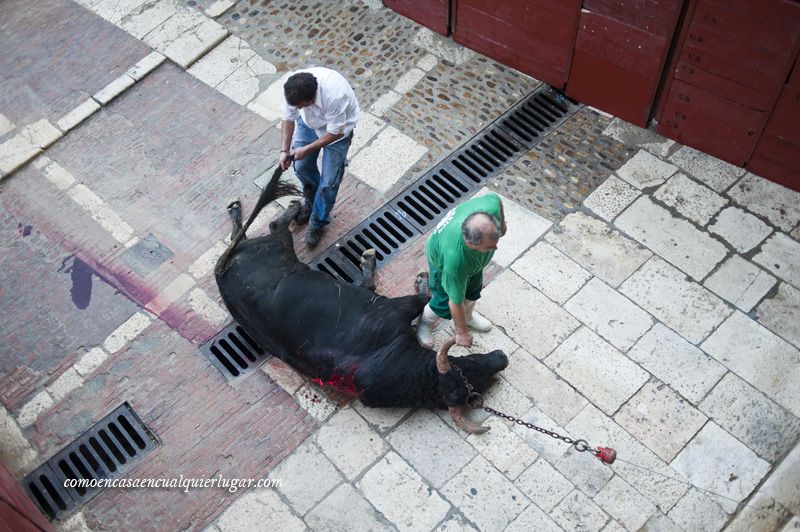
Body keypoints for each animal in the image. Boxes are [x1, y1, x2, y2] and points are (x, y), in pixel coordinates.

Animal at [216, 169, 510, 432]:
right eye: (467, 367)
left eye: (478, 384)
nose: (502, 357)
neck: (401, 364)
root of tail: (222, 272)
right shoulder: (398, 308)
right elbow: (424, 297)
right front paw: (421, 281)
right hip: (279, 247)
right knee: (274, 227)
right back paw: (291, 206)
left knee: (238, 236)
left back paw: (236, 211)